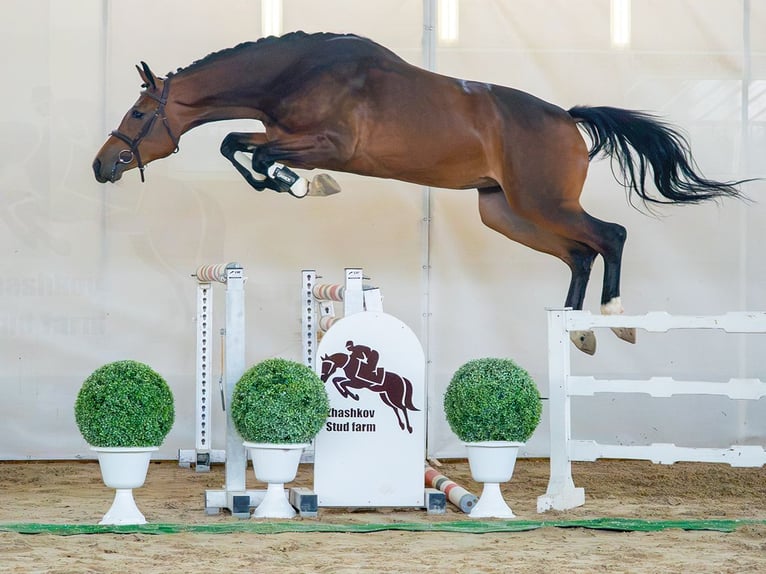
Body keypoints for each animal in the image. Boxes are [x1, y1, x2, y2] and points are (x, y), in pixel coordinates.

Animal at [93, 31, 750, 354]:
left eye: (138, 112)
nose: (102, 166)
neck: (296, 73)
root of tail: (566, 118)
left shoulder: (328, 142)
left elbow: (254, 153)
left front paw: (304, 185)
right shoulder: (283, 134)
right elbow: (238, 144)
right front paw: (293, 185)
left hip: (541, 203)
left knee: (609, 236)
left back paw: (613, 319)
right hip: (505, 213)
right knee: (580, 253)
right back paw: (577, 329)